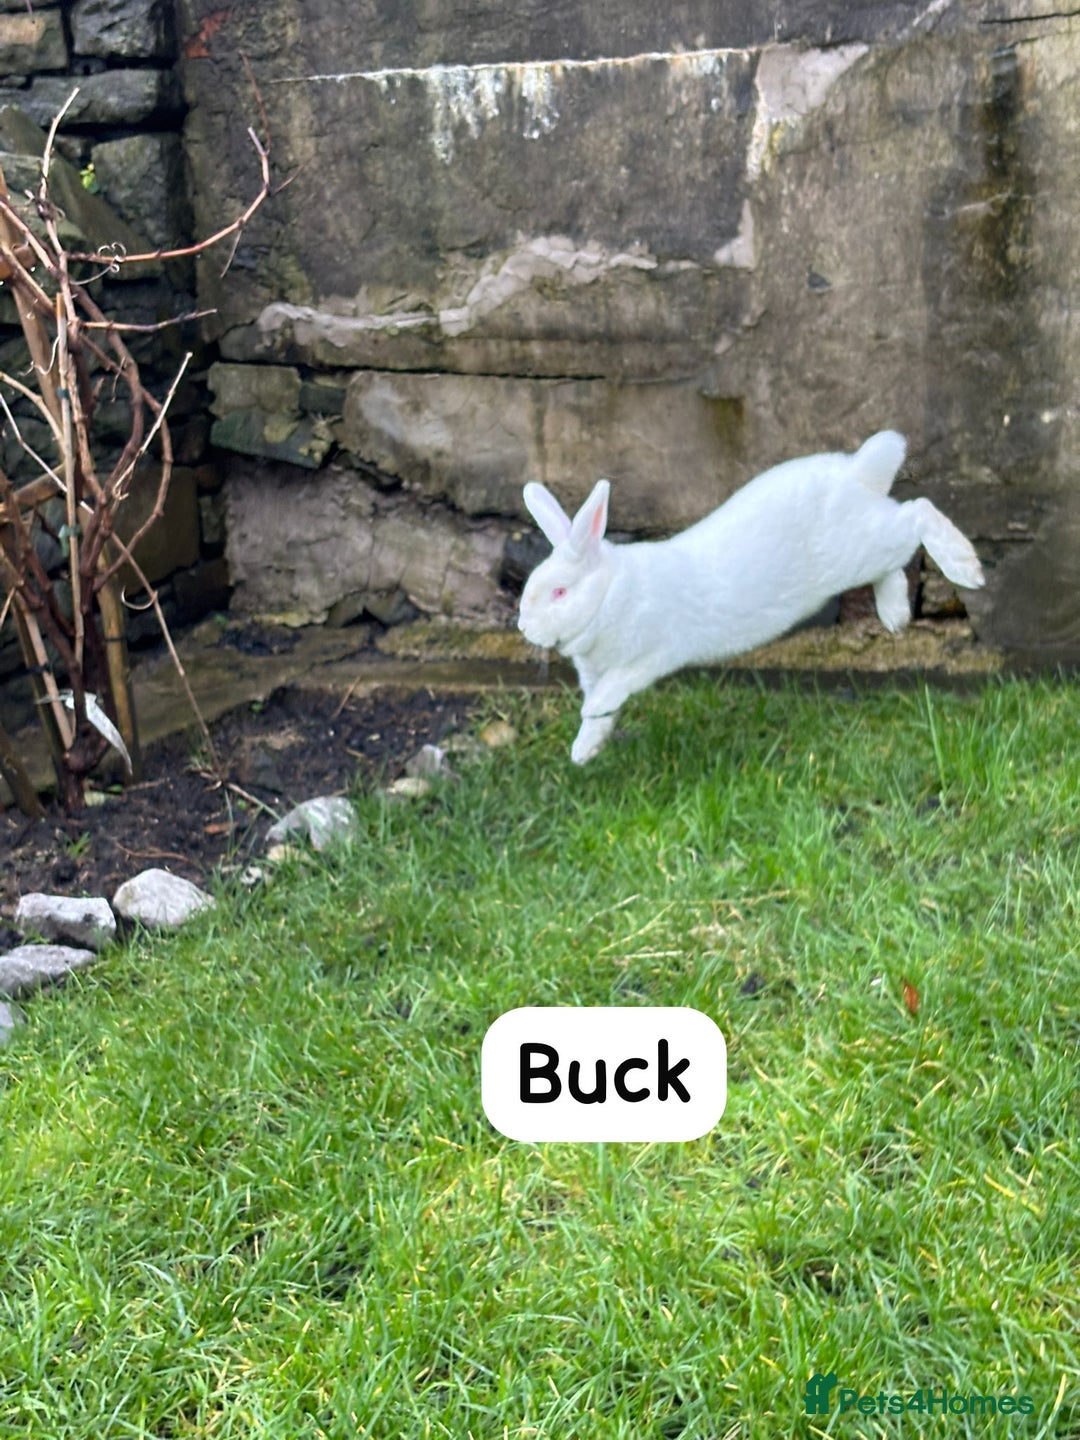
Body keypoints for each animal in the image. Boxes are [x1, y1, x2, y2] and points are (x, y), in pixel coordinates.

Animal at [518, 431, 985, 764]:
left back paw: (965, 566)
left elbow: (614, 688)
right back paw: (895, 615)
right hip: (864, 549)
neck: (610, 593)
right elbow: (604, 716)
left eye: (560, 591)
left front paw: (589, 715)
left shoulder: (651, 654)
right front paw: (584, 749)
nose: (523, 627)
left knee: (918, 513)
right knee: (895, 558)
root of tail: (858, 472)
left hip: (859, 547)